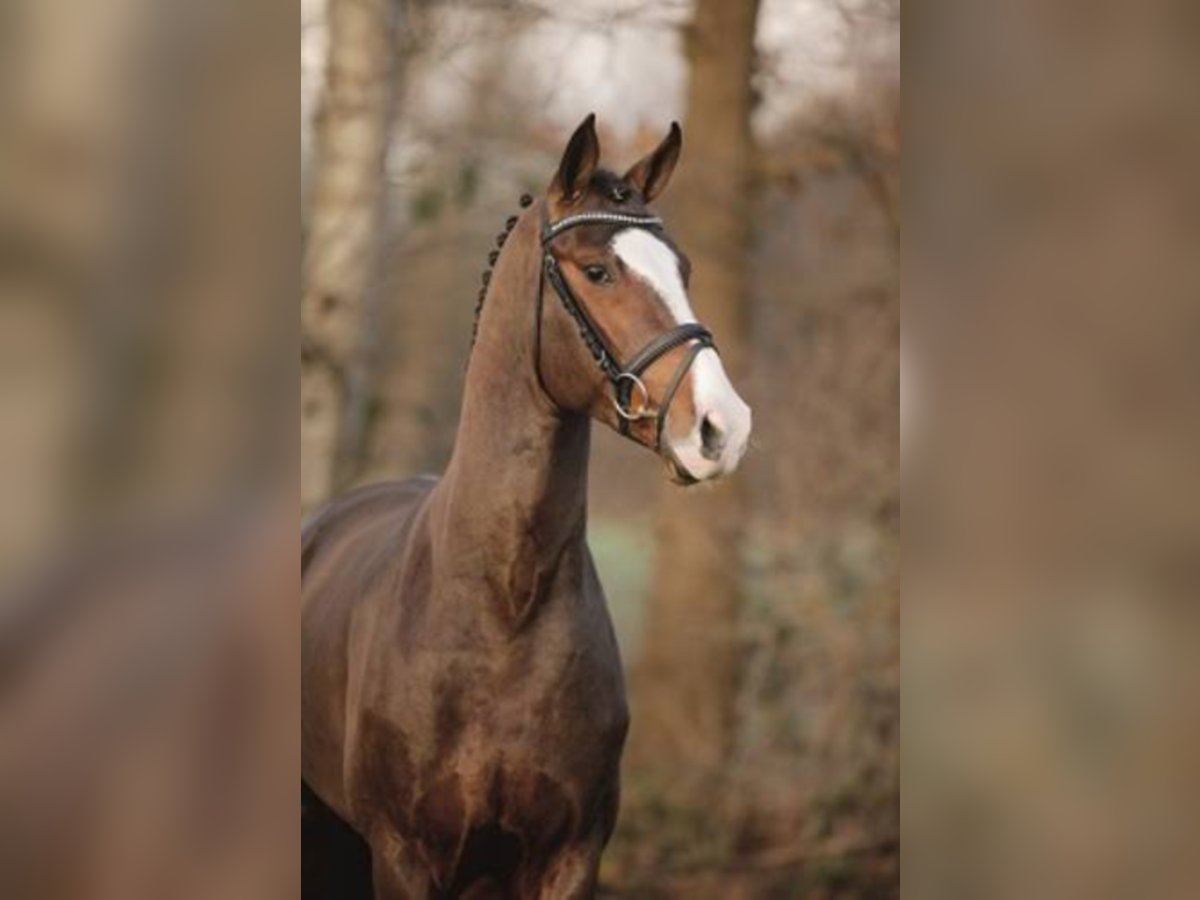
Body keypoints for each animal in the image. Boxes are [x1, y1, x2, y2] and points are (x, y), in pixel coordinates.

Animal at [302, 116, 748, 897]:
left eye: (684, 270)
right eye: (597, 271)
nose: (722, 428)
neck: (504, 604)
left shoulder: (568, 855)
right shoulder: (403, 857)